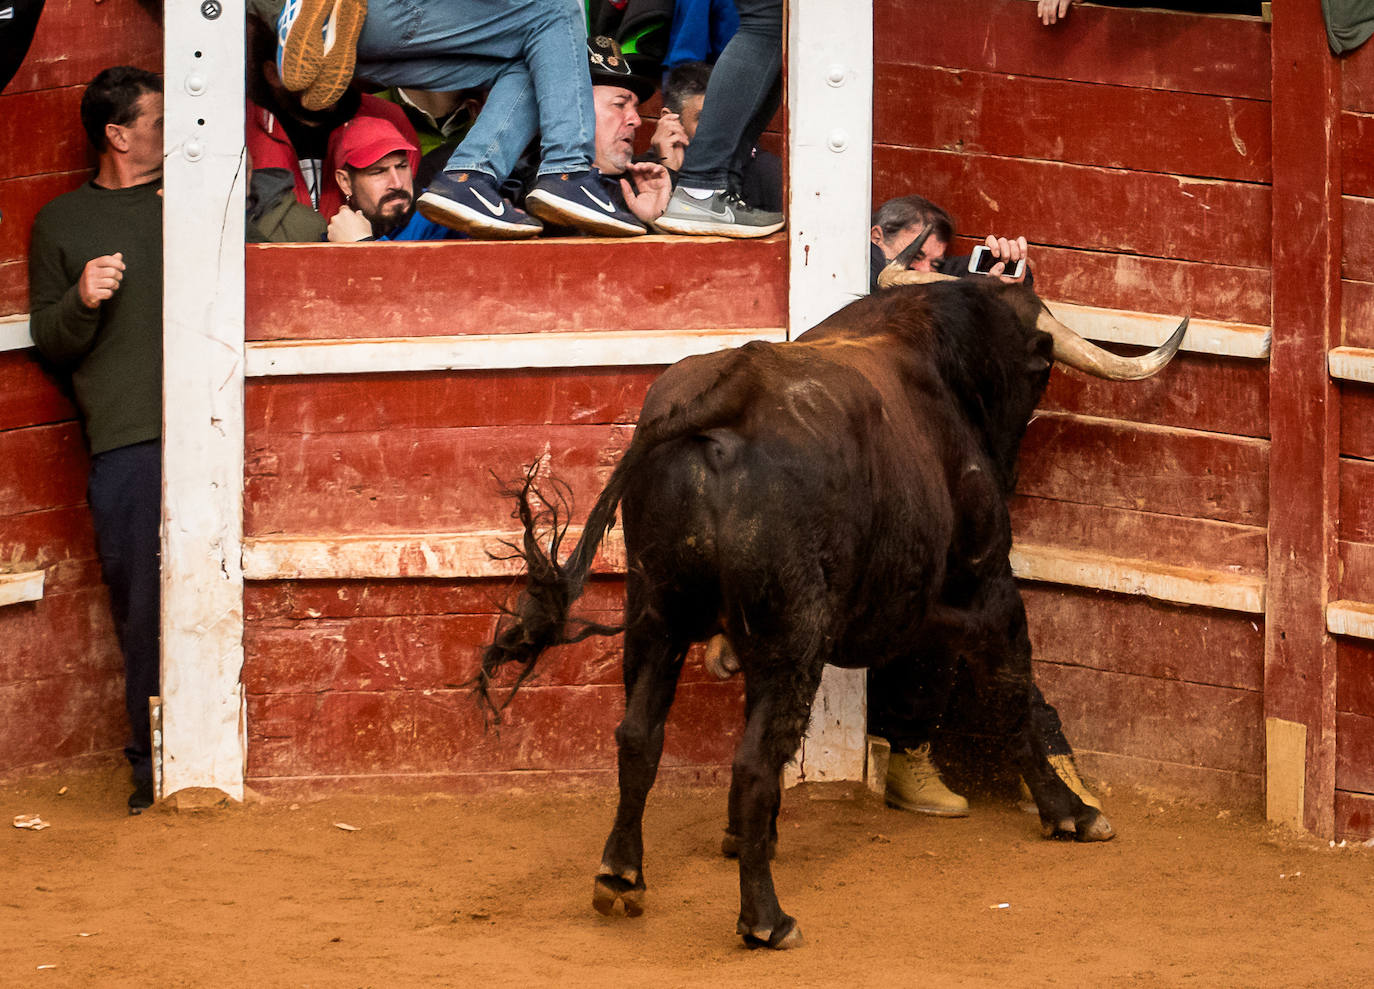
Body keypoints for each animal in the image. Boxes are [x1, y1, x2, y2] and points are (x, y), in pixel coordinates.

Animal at [478, 266, 1187, 945]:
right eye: (1034, 374)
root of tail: (727, 397)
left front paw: (746, 836)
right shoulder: (986, 583)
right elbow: (1011, 692)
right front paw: (1070, 812)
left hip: (657, 614)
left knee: (638, 736)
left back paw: (622, 877)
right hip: (792, 633)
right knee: (752, 761)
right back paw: (767, 920)